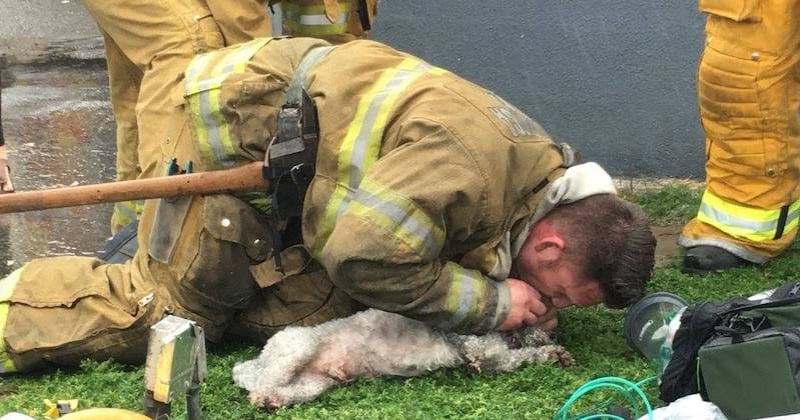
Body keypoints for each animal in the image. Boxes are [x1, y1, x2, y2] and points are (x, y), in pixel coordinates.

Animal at [233, 306, 576, 408]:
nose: (553, 335)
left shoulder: (496, 359)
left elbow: (522, 356)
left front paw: (555, 355)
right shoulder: (480, 352)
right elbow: (512, 354)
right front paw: (550, 351)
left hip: (313, 384)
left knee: (286, 390)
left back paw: (274, 402)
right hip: (296, 347)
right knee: (262, 384)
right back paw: (262, 398)